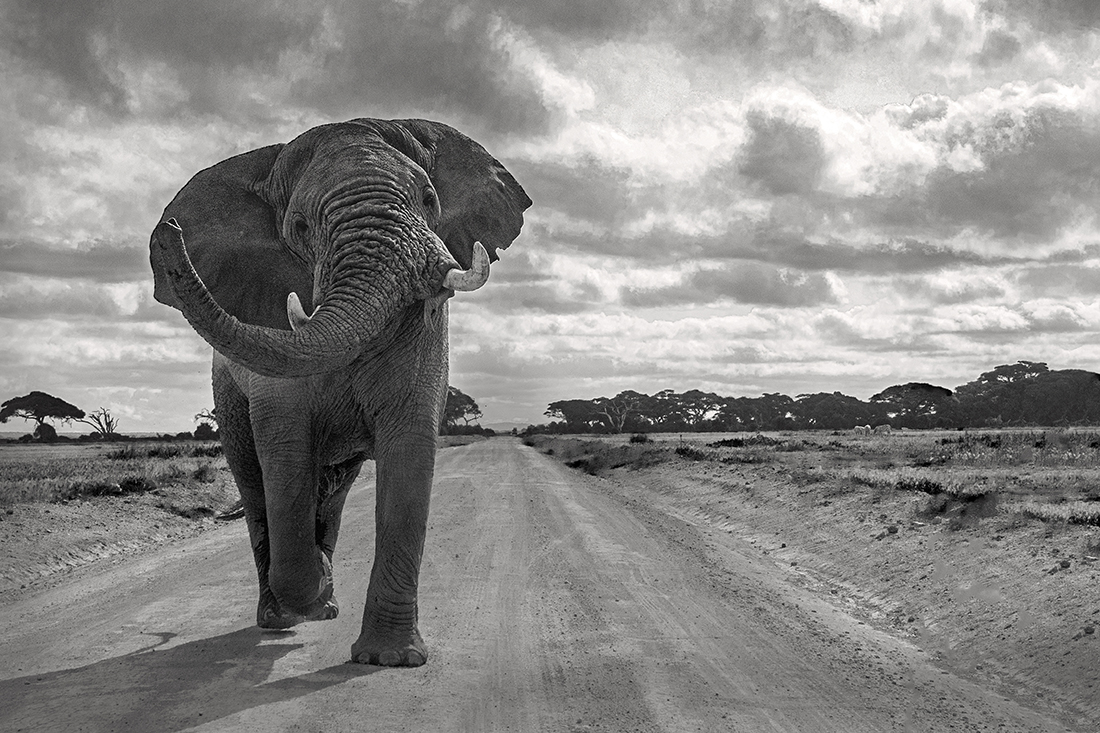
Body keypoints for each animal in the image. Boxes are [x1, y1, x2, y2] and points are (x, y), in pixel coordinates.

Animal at [148, 118, 531, 666]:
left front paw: (389, 659)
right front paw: (322, 587)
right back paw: (283, 616)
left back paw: (323, 607)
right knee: (257, 486)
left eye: (429, 197)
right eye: (300, 228)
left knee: (333, 491)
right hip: (225, 393)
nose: (168, 232)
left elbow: (408, 447)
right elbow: (284, 454)